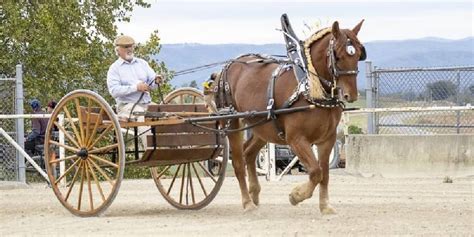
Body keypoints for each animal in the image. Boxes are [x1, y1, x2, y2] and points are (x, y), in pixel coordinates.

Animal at [213, 19, 364, 214]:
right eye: (337, 55)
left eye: (359, 53)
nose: (350, 95)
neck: (310, 88)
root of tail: (226, 67)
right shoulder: (296, 139)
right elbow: (316, 172)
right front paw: (296, 195)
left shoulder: (327, 139)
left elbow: (324, 174)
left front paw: (325, 206)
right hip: (232, 121)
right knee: (238, 162)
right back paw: (247, 202)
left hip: (262, 127)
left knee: (249, 154)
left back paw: (254, 195)